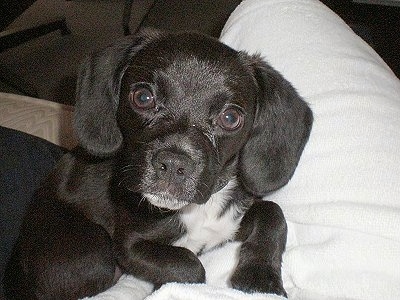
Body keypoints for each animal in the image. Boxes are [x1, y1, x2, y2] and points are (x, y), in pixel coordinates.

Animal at [3, 29, 312, 300]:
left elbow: (273, 213)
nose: (173, 165)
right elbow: (189, 266)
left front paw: (260, 280)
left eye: (230, 118)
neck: (197, 212)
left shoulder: (233, 216)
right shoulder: (130, 246)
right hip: (93, 255)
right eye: (143, 97)